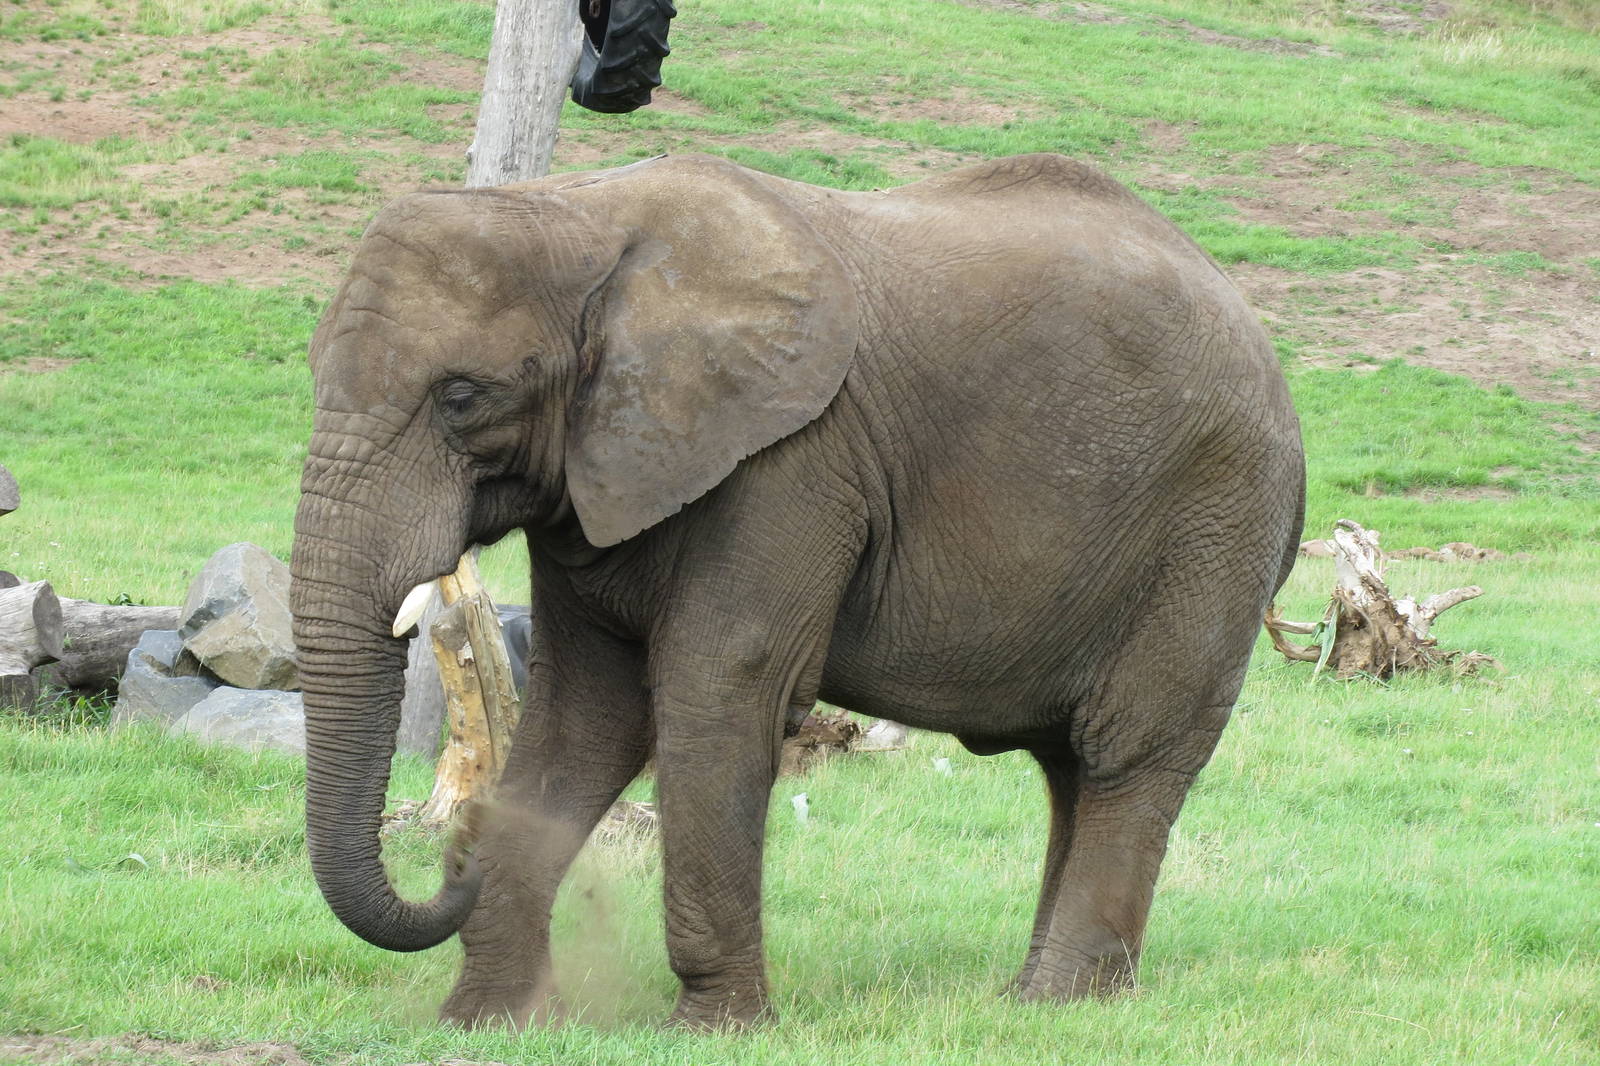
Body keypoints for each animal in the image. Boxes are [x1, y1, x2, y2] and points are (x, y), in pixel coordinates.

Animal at [290, 152, 1305, 1030]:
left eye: (462, 398)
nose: (454, 851)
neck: (579, 213)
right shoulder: (599, 478)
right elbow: (586, 713)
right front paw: (488, 1021)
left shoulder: (794, 462)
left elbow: (718, 687)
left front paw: (713, 1030)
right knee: (1070, 769)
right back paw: (1035, 1003)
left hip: (1213, 526)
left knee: (1129, 753)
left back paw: (1059, 1006)